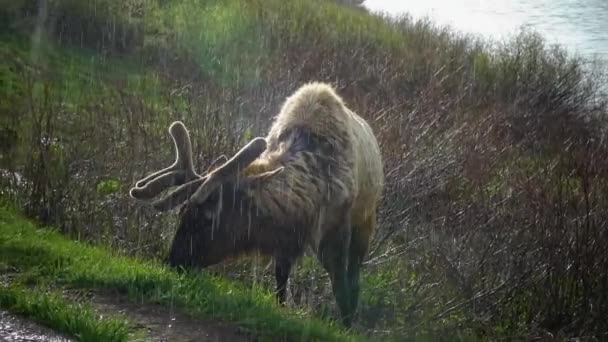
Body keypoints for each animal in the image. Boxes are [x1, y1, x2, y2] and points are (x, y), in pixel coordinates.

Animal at [129, 82, 384, 326]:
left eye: (208, 218)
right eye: (183, 212)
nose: (172, 260)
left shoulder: (337, 230)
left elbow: (341, 286)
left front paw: (347, 325)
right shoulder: (285, 241)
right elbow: (280, 283)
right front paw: (281, 309)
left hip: (365, 221)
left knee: (354, 277)